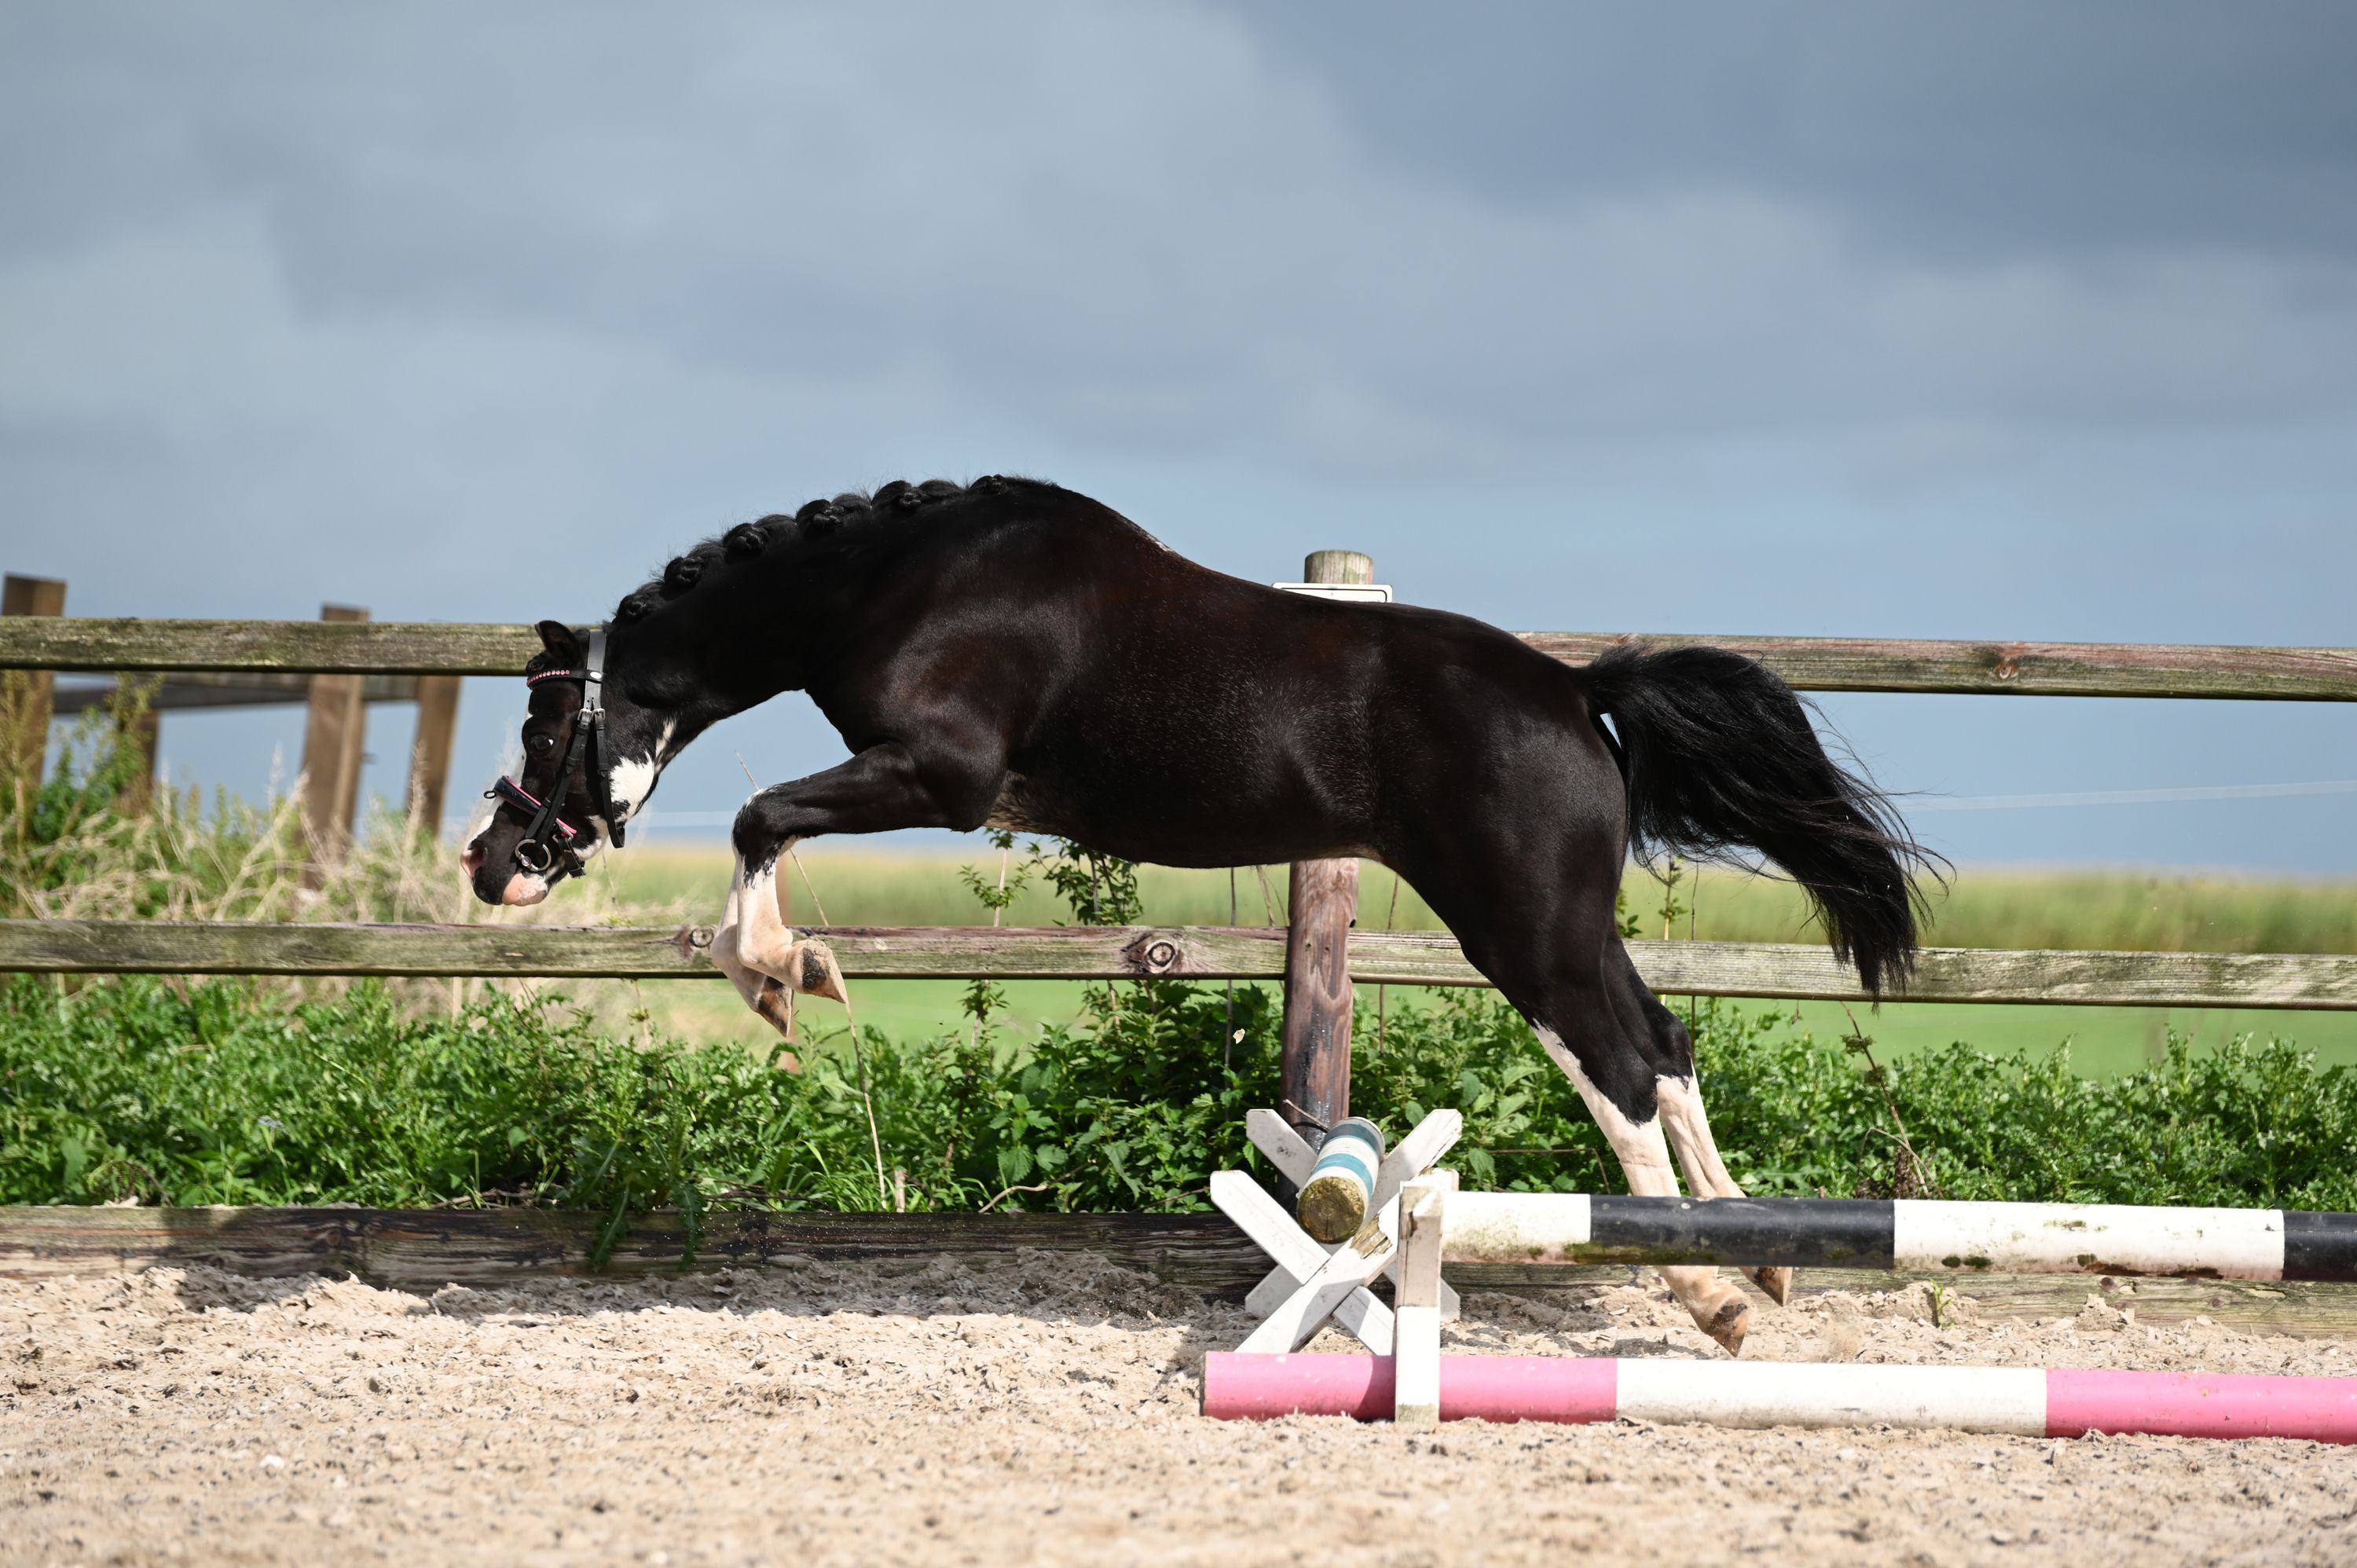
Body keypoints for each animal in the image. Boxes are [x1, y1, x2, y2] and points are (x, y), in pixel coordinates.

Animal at [462, 475, 1932, 1354]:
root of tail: (1578, 691)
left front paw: (784, 974)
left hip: (1521, 925)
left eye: (540, 722)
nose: (491, 863)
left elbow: (760, 819)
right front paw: (788, 969)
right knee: (1665, 1045)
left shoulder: (942, 777)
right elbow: (763, 824)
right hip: (1562, 922)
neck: (906, 582)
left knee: (1621, 1064)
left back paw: (1712, 1293)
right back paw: (1764, 1265)